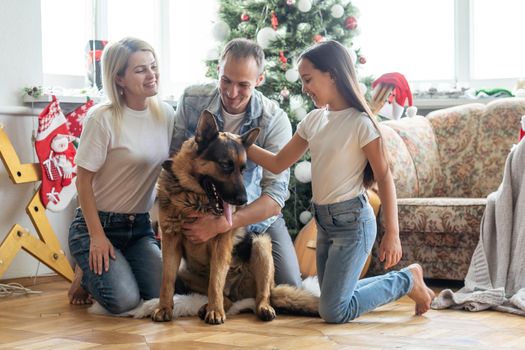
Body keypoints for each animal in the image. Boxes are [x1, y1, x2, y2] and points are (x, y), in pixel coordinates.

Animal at [149, 110, 318, 324]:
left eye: (243, 169)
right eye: (225, 165)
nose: (243, 201)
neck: (192, 198)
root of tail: (240, 293)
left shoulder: (220, 244)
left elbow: (215, 282)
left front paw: (215, 311)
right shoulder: (170, 243)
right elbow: (167, 280)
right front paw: (164, 308)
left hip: (261, 244)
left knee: (260, 295)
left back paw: (259, 307)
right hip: (185, 272)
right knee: (227, 298)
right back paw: (210, 306)